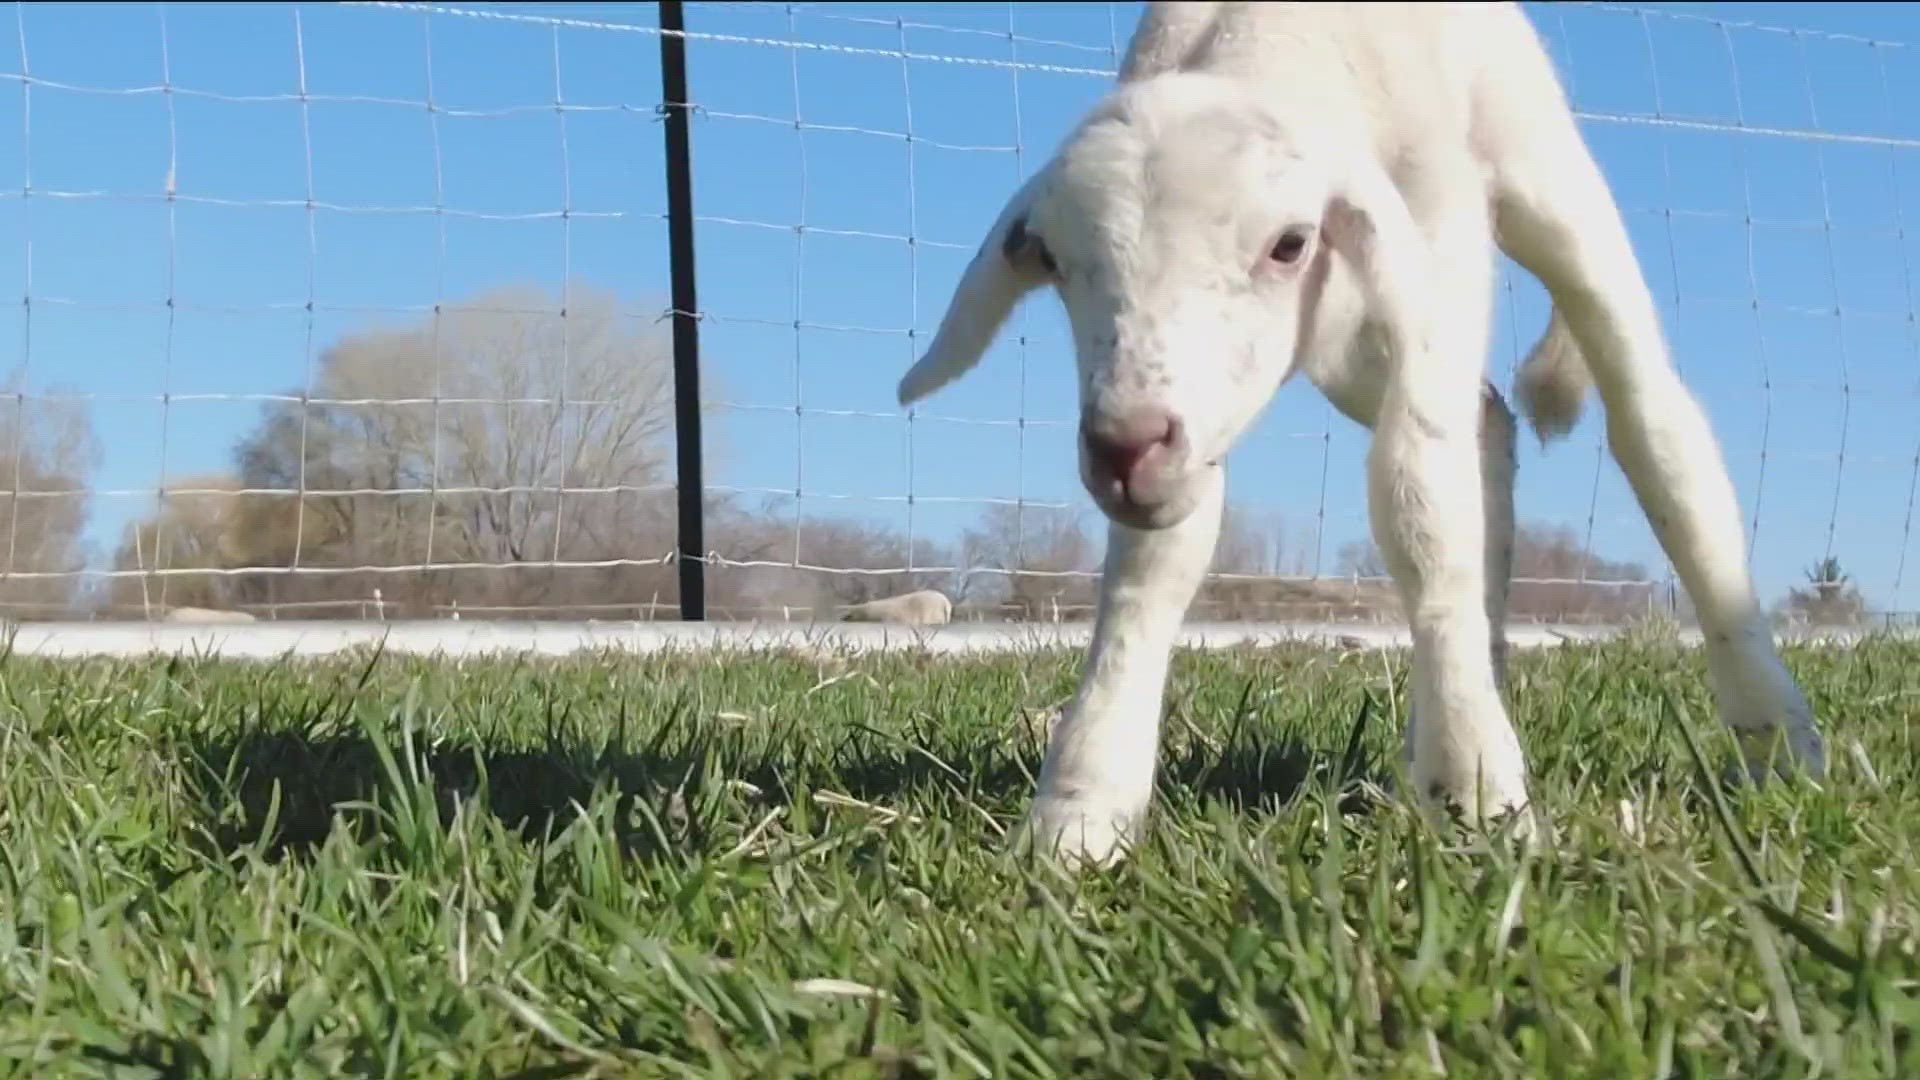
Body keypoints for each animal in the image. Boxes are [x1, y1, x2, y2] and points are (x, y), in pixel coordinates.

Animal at [898, 0, 1827, 860]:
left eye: (1288, 244)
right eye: (1052, 260)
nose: (1126, 448)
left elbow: (1419, 504)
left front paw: (1480, 789)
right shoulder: (1200, 420)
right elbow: (1155, 565)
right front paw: (1082, 810)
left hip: (1541, 178)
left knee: (1652, 430)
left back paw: (1776, 736)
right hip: (1352, 342)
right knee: (1487, 429)